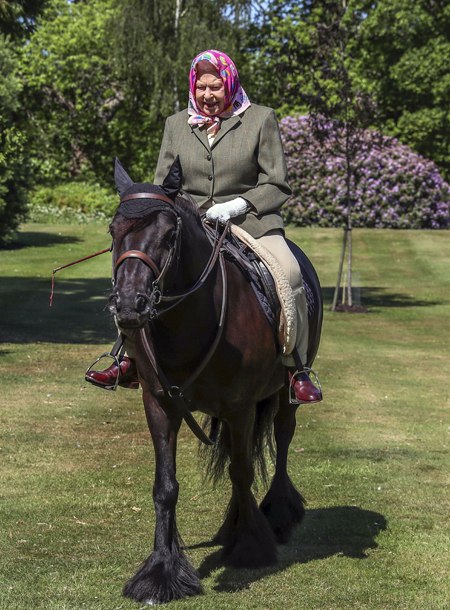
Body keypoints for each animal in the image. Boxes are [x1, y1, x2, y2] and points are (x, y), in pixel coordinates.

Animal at [107, 158, 322, 604]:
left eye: (169, 235)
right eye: (113, 231)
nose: (130, 305)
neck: (187, 320)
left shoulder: (240, 407)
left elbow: (241, 472)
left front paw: (250, 546)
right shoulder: (159, 404)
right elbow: (165, 487)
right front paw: (161, 571)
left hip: (286, 393)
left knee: (283, 438)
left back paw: (277, 514)